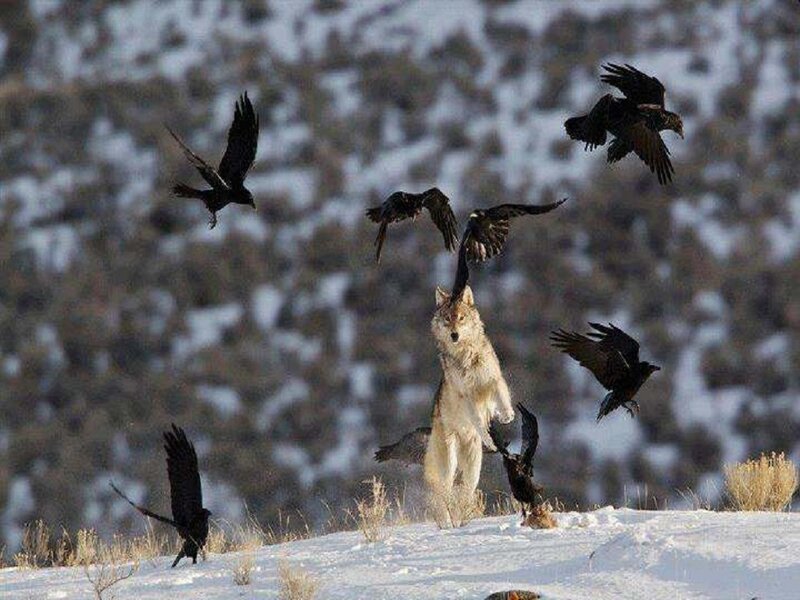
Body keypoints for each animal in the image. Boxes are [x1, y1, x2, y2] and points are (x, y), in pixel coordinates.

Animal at [424, 285, 515, 497]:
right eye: (447, 318)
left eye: (461, 318)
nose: (454, 335)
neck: (468, 355)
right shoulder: (467, 395)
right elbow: (478, 420)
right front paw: (489, 438)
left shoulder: (493, 379)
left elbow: (502, 396)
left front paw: (507, 415)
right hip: (449, 464)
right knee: (445, 492)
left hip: (473, 469)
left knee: (467, 490)